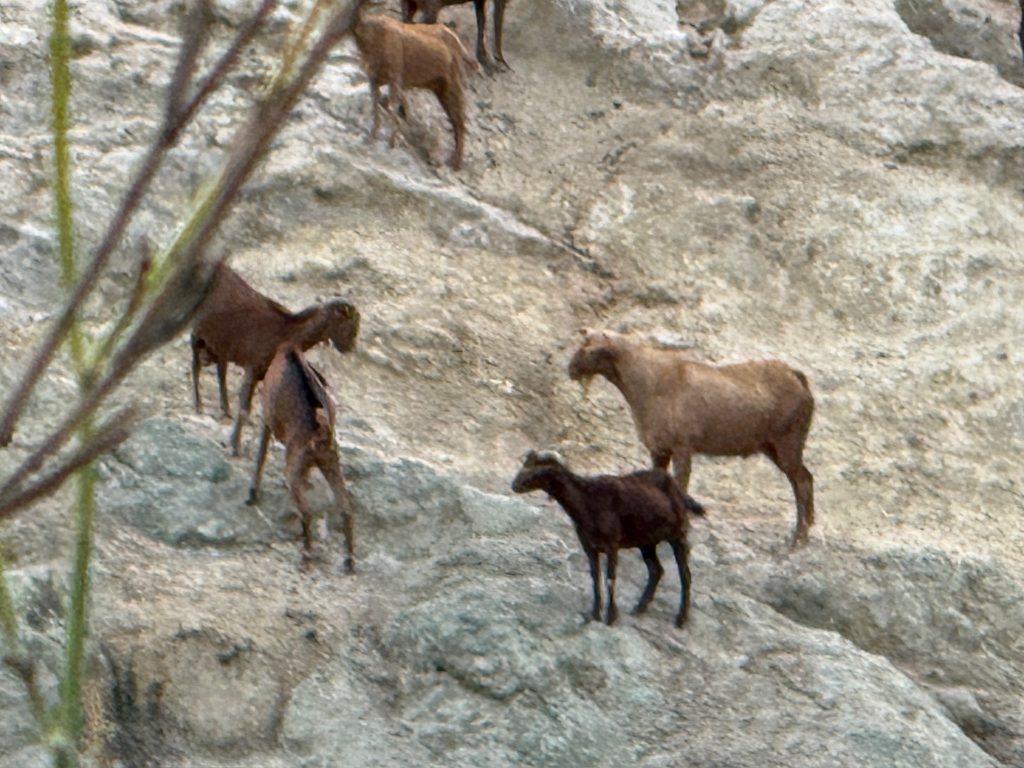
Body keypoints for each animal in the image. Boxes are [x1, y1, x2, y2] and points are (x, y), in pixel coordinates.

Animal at [190, 262, 360, 456]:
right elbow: (244, 407)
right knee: (195, 364)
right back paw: (198, 404)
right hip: (197, 333)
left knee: (221, 372)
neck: (285, 333)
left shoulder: (262, 375)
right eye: (350, 323)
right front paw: (234, 446)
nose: (349, 347)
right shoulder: (252, 369)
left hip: (220, 346)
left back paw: (225, 410)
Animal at [247, 347, 356, 572]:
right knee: (346, 508)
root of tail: (321, 433)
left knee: (307, 512)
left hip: (296, 466)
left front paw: (253, 493)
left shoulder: (267, 417)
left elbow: (261, 452)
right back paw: (349, 561)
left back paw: (306, 556)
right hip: (331, 462)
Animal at [352, 12, 477, 170]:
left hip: (453, 84)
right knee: (456, 120)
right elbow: (377, 106)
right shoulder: (374, 80)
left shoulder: (395, 76)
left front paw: (391, 142)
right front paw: (371, 137)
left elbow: (390, 106)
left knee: (459, 120)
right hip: (439, 88)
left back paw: (455, 162)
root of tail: (457, 42)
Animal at [511, 450, 699, 627]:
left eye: (539, 469)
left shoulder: (612, 545)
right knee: (656, 570)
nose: (515, 485)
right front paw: (594, 614)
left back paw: (681, 619)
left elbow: (610, 579)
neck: (587, 502)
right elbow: (596, 579)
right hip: (647, 543)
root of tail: (679, 492)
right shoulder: (590, 547)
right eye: (525, 464)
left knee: (685, 575)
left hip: (677, 536)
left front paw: (610, 617)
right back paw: (639, 608)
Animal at [568, 329, 815, 548]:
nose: (571, 368)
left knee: (802, 481)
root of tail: (798, 378)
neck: (648, 383)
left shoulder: (681, 447)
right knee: (802, 479)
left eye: (590, 348)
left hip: (787, 441)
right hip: (772, 446)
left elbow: (681, 484)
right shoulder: (659, 450)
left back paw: (798, 539)